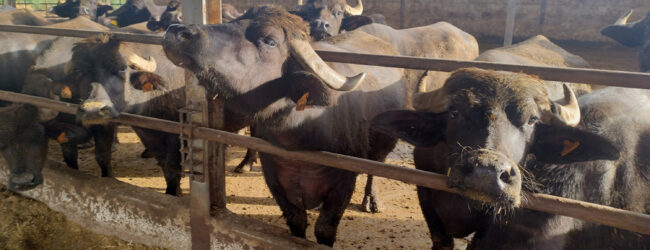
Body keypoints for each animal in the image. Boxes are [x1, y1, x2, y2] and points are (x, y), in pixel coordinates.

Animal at [162, 6, 412, 246]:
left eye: (269, 40)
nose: (178, 31)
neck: (300, 139)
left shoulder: (343, 184)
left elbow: (324, 229)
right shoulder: (276, 181)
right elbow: (296, 224)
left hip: (383, 145)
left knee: (375, 166)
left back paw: (372, 200)